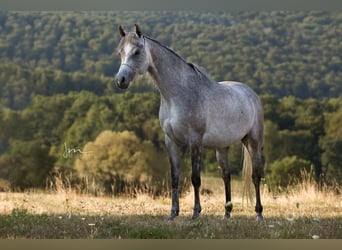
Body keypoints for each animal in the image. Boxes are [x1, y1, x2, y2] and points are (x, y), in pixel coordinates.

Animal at [115, 24, 264, 221]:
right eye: (120, 52)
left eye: (137, 51)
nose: (120, 80)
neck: (178, 94)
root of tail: (250, 93)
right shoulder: (171, 141)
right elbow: (174, 177)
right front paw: (173, 214)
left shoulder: (195, 141)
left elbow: (195, 178)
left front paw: (195, 213)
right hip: (222, 147)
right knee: (226, 176)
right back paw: (226, 214)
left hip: (252, 141)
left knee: (256, 175)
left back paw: (259, 214)